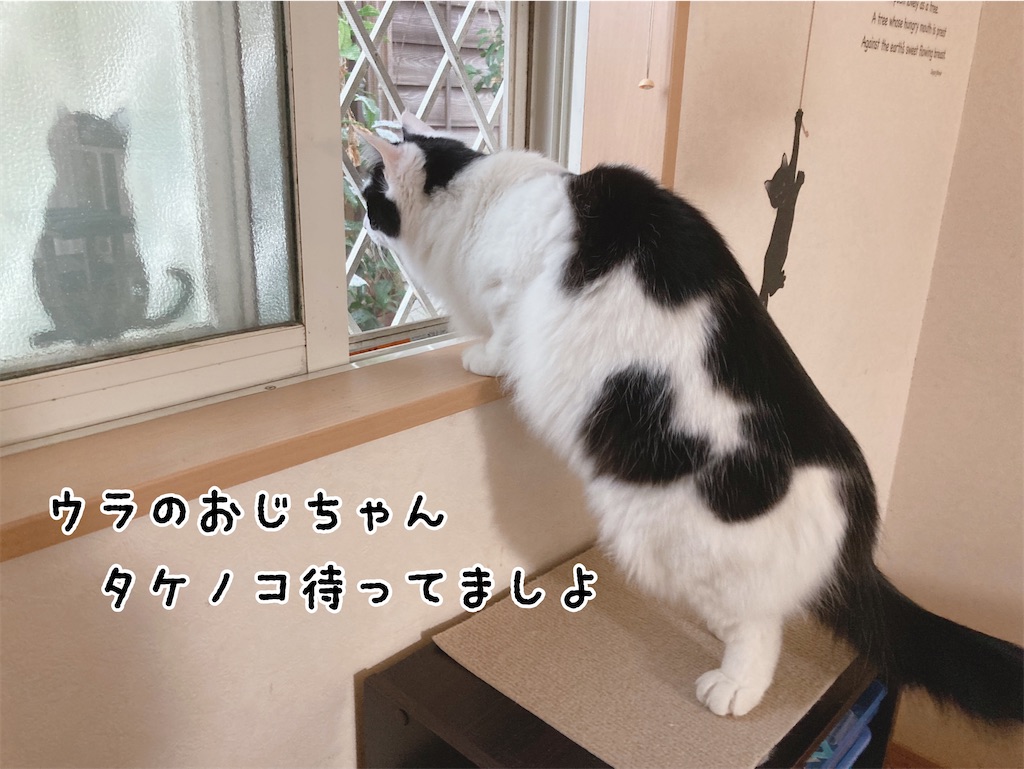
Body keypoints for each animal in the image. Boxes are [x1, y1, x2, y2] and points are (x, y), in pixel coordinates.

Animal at [358, 112, 1023, 722]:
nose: (361, 216)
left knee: (760, 629)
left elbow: (500, 336)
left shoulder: (508, 292)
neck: (476, 194)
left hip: (681, 542)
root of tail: (856, 511)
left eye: (369, 194)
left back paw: (732, 688)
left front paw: (481, 358)